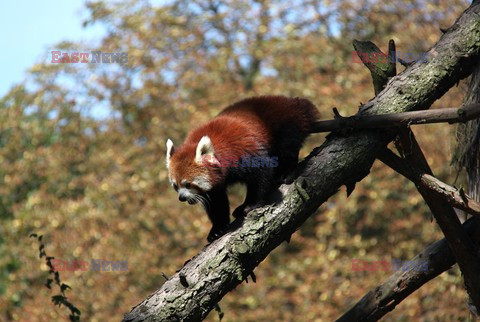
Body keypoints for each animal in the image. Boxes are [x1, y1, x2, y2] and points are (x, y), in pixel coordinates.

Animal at [165, 95, 318, 242]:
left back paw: (286, 173)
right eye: (176, 186)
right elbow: (216, 201)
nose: (182, 198)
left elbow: (261, 174)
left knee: (287, 148)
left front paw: (250, 204)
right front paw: (217, 228)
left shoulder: (243, 152)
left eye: (188, 184)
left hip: (284, 124)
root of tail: (289, 101)